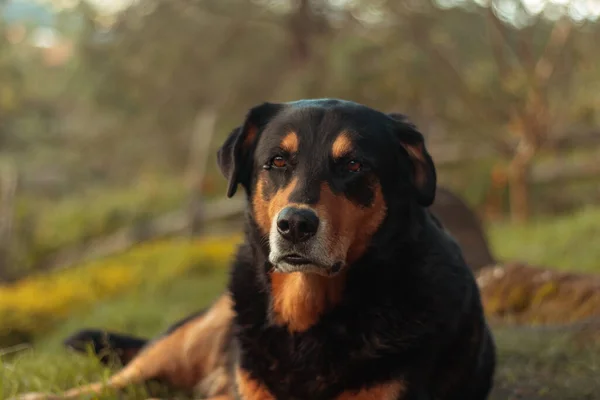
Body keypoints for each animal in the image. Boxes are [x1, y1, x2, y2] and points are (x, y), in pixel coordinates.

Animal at [14, 97, 494, 400]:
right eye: (277, 161)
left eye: (354, 165)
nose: (295, 225)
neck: (307, 318)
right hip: (188, 340)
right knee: (110, 385)